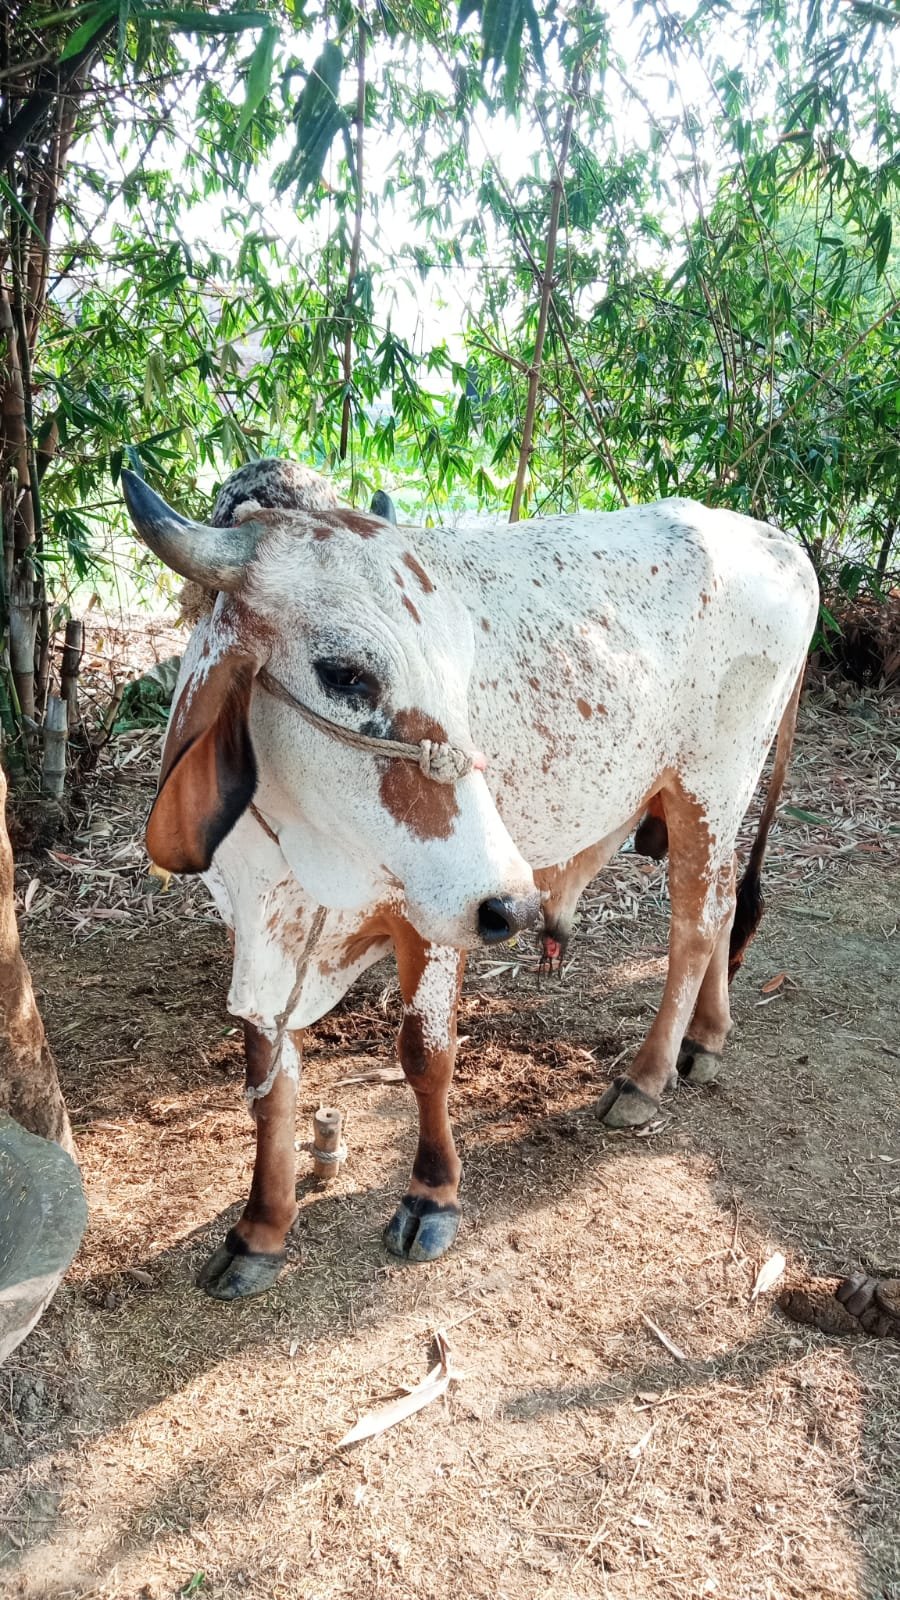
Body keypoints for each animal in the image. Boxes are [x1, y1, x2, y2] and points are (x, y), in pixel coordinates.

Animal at [120, 461, 819, 1300]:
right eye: (345, 674)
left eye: (463, 669)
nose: (512, 905)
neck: (302, 856)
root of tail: (780, 541)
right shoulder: (254, 931)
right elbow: (270, 1080)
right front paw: (261, 1229)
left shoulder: (437, 917)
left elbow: (425, 1055)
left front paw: (431, 1195)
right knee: (722, 908)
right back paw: (706, 1037)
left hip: (710, 783)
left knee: (698, 920)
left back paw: (646, 1078)